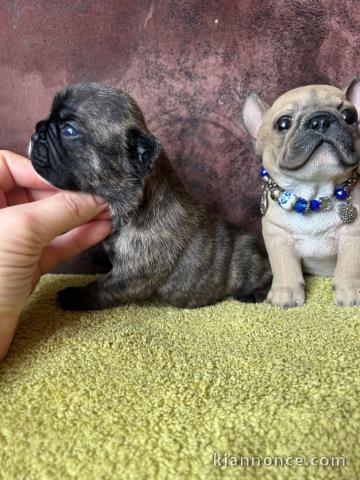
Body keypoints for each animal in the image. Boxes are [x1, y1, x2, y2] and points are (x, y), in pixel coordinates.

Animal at [29, 84, 270, 310]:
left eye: (69, 130)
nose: (37, 129)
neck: (130, 204)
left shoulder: (131, 277)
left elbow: (98, 290)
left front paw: (73, 296)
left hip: (248, 267)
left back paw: (253, 294)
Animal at [243, 77, 360, 306]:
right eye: (283, 124)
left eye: (349, 116)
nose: (321, 121)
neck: (314, 193)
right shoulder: (277, 237)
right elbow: (285, 267)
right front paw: (285, 293)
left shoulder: (353, 236)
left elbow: (349, 267)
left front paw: (351, 292)